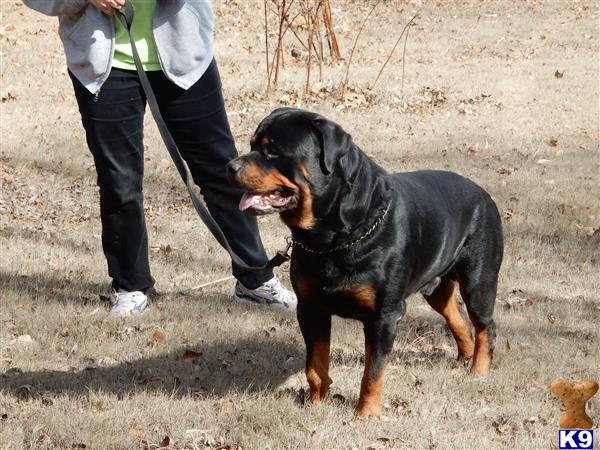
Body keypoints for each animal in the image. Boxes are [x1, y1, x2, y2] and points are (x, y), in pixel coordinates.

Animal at [227, 108, 504, 418]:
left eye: (273, 151)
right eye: (252, 145)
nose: (230, 166)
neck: (332, 239)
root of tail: (484, 193)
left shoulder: (384, 316)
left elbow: (372, 372)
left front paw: (367, 414)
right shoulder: (311, 308)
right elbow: (315, 366)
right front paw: (315, 403)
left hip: (479, 280)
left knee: (485, 325)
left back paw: (478, 370)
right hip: (434, 287)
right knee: (456, 317)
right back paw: (464, 357)